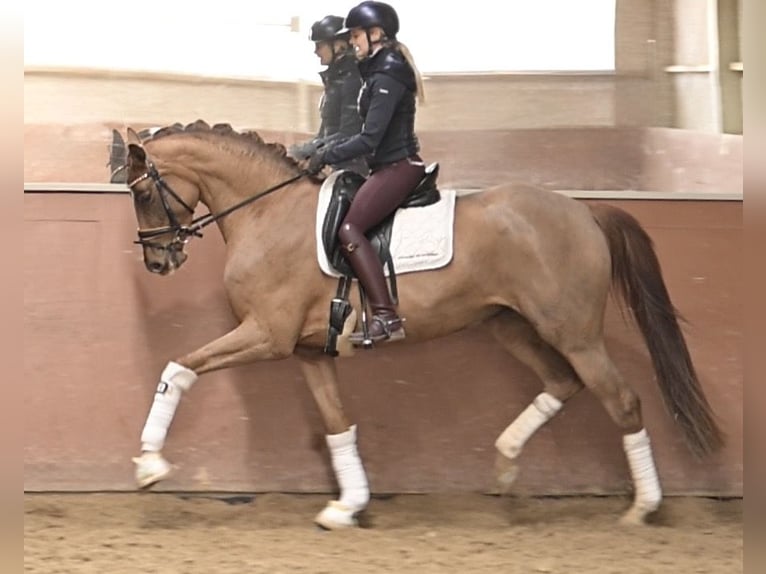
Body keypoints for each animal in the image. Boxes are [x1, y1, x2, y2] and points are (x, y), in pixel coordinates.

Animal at [124, 120, 723, 529]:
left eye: (143, 191)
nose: (158, 262)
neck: (268, 215)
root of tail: (584, 211)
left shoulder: (267, 336)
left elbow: (178, 368)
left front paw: (150, 465)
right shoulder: (309, 352)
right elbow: (338, 424)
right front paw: (348, 506)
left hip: (573, 333)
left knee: (622, 400)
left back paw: (642, 507)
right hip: (510, 325)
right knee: (562, 382)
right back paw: (506, 466)